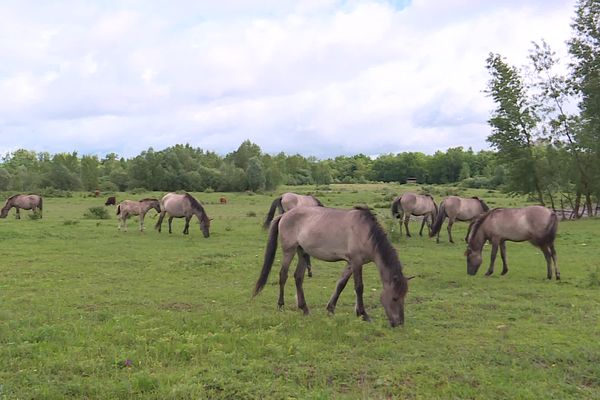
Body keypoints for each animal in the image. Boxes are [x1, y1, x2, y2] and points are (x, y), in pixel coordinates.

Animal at [253, 205, 412, 326]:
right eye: (394, 298)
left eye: (404, 297)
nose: (399, 323)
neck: (366, 232)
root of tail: (284, 215)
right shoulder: (356, 262)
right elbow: (359, 287)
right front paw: (363, 314)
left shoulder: (350, 263)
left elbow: (341, 284)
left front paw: (330, 309)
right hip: (289, 251)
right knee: (283, 275)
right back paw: (281, 305)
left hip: (302, 252)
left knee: (298, 277)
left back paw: (305, 309)